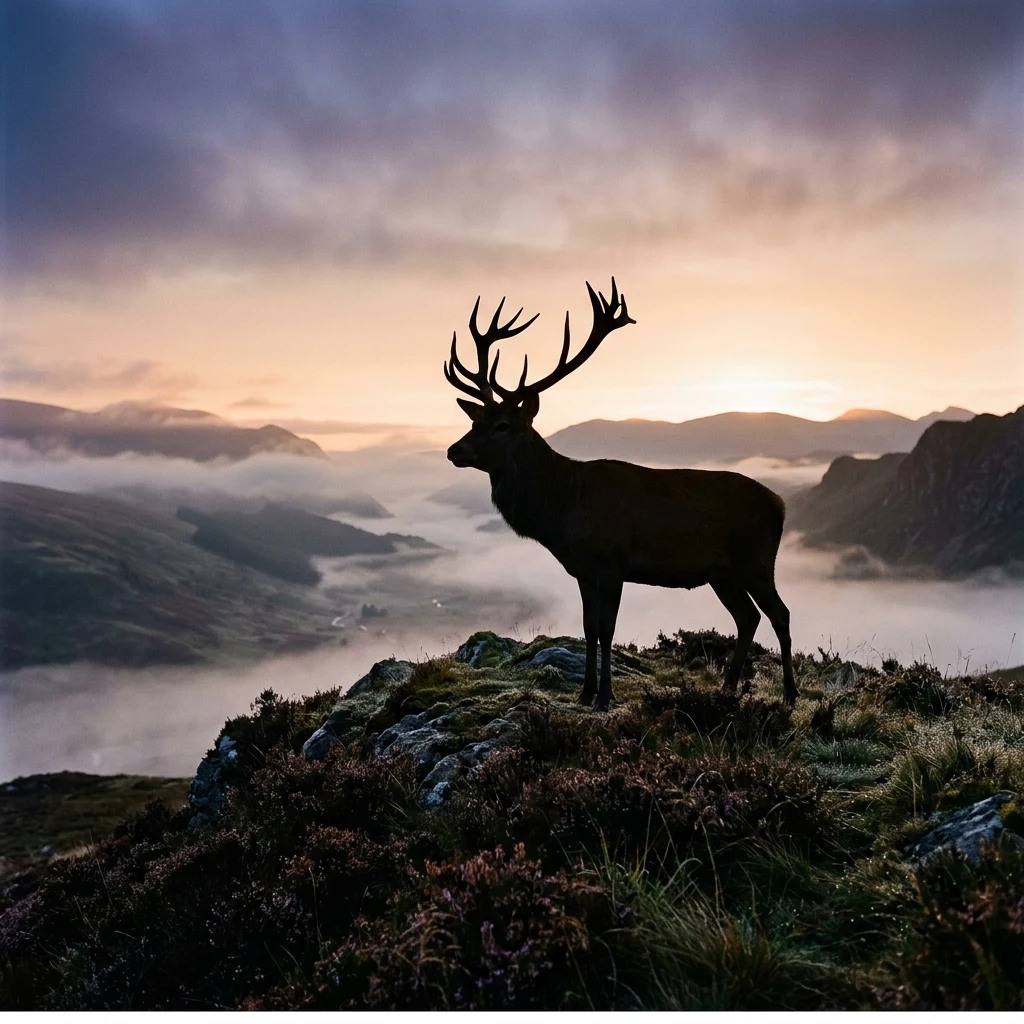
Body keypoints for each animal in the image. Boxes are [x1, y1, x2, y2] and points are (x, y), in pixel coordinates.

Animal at [444, 279, 798, 711]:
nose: (454, 450)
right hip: (723, 572)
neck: (562, 510)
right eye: (473, 420)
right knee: (748, 617)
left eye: (502, 425)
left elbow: (608, 629)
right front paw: (584, 693)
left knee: (779, 614)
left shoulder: (613, 561)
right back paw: (727, 688)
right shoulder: (582, 570)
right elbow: (588, 628)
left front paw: (604, 697)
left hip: (756, 559)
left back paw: (789, 693)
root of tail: (780, 505)